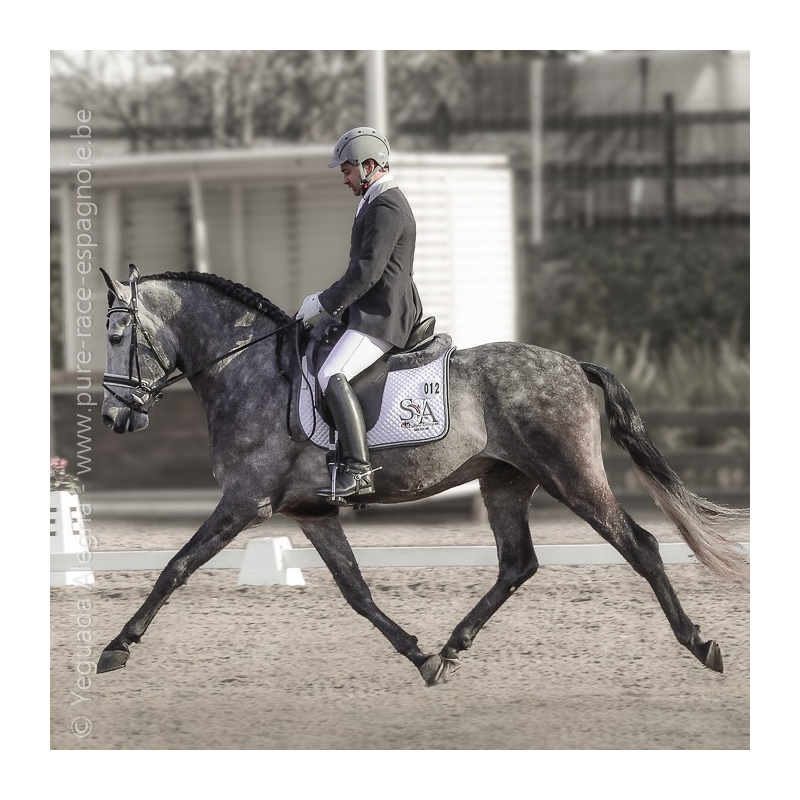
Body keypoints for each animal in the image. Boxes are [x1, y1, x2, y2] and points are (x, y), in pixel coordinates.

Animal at [96, 265, 748, 685]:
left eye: (116, 334)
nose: (113, 417)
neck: (248, 367)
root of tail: (573, 364)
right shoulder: (310, 511)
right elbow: (356, 591)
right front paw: (418, 655)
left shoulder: (244, 501)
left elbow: (176, 567)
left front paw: (116, 648)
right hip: (505, 480)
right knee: (518, 563)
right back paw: (452, 649)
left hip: (573, 476)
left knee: (639, 545)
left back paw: (700, 644)